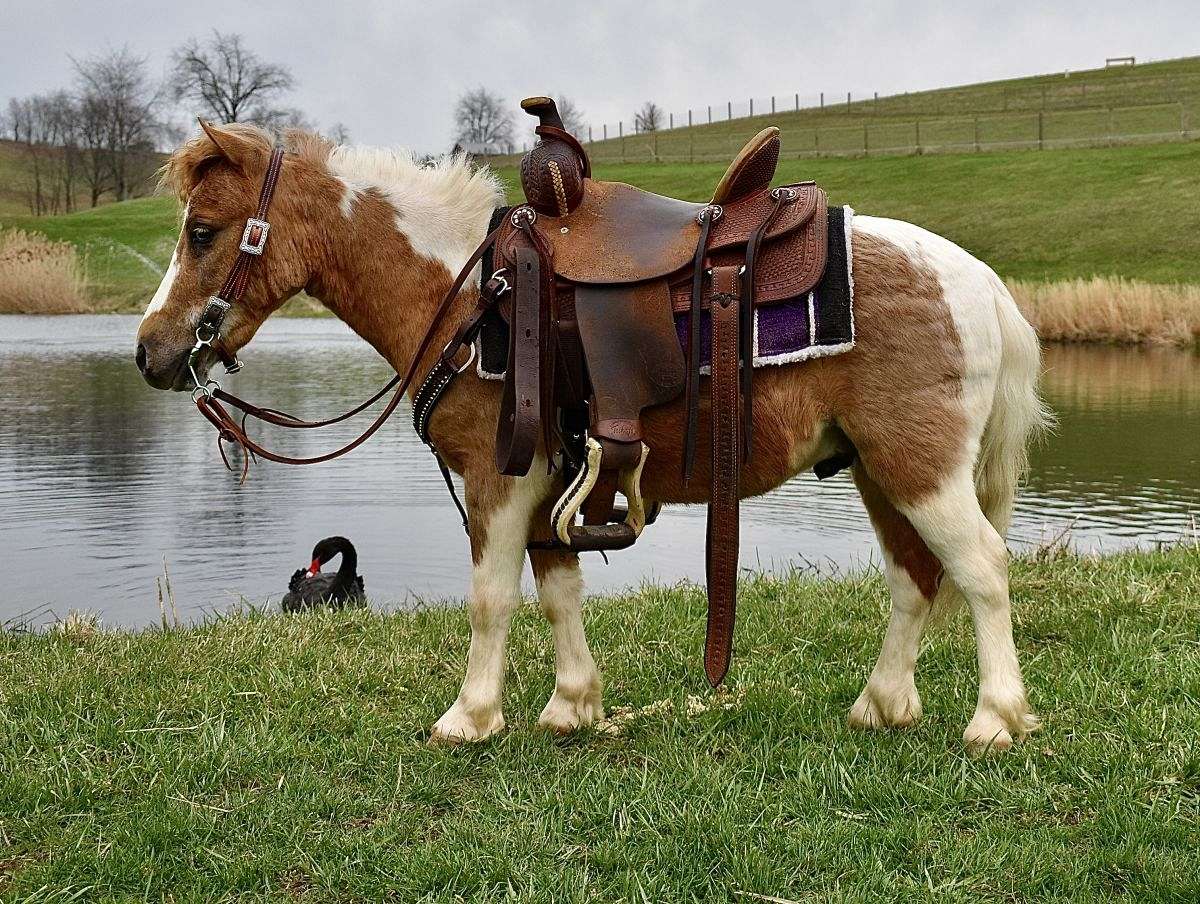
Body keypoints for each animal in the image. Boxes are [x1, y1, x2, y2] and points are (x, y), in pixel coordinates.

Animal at [135, 122, 1051, 752]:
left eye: (202, 231)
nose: (150, 352)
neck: (476, 297)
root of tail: (981, 283)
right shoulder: (554, 480)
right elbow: (558, 592)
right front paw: (572, 705)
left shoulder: (500, 479)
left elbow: (492, 597)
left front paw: (469, 717)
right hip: (879, 470)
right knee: (914, 578)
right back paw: (882, 704)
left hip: (919, 467)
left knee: (980, 569)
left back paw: (996, 719)